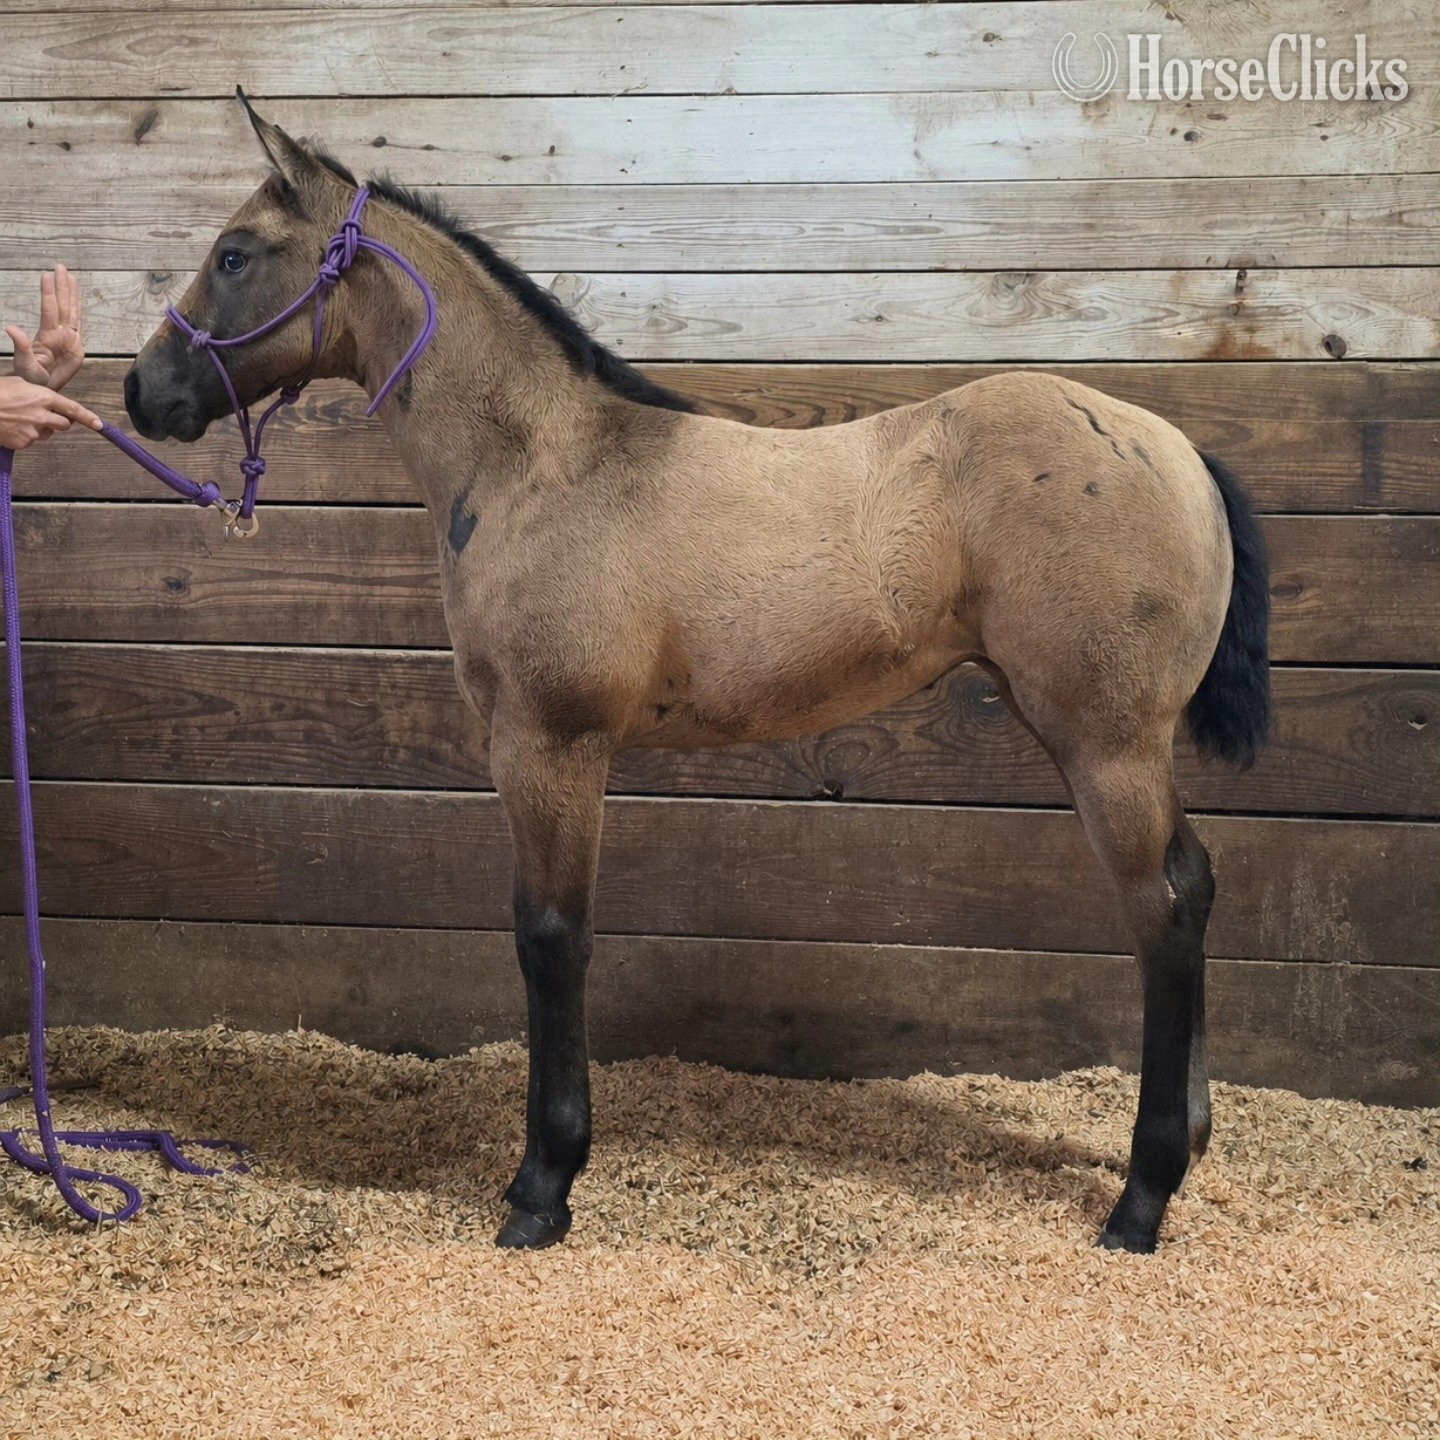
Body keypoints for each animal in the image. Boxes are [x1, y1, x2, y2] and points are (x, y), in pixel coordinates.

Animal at [124, 99, 1270, 1256]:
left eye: (235, 253)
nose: (142, 390)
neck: (541, 465)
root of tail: (1181, 452)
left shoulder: (549, 743)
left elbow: (552, 937)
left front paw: (543, 1186)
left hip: (1103, 741)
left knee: (1162, 911)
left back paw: (1141, 1198)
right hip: (1125, 746)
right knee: (1198, 877)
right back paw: (1191, 1144)